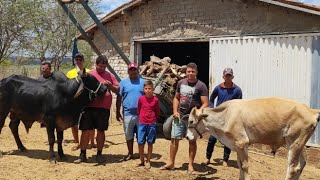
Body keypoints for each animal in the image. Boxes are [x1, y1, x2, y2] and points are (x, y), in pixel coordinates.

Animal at [186, 98, 318, 180]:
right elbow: (240, 165)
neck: (226, 115)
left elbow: (245, 166)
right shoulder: (237, 146)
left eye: (191, 121)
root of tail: (311, 111)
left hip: (294, 144)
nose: (187, 137)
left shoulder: (241, 142)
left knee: (292, 169)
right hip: (297, 144)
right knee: (302, 164)